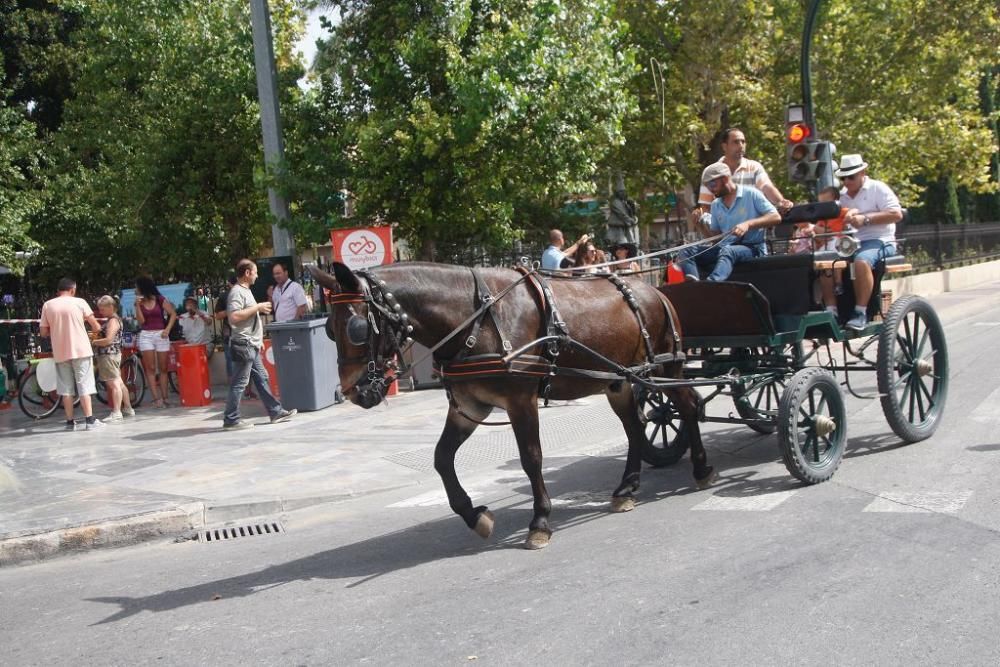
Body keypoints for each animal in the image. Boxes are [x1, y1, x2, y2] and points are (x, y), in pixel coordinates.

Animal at [312, 260, 712, 548]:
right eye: (329, 330)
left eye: (357, 329)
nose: (354, 392)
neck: (476, 321)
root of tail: (653, 290)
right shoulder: (470, 406)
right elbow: (442, 459)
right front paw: (475, 515)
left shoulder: (521, 402)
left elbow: (531, 459)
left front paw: (540, 522)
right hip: (621, 381)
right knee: (635, 426)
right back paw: (626, 489)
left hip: (666, 366)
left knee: (688, 405)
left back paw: (701, 469)